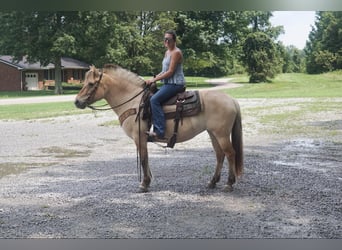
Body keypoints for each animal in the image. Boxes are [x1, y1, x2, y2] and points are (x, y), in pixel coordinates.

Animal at [75, 64, 243, 191]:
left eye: (91, 84)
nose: (77, 101)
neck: (134, 102)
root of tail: (231, 100)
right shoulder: (142, 139)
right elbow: (146, 159)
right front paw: (148, 181)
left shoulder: (139, 137)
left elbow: (143, 159)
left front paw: (144, 184)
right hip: (213, 133)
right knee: (220, 155)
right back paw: (212, 182)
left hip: (221, 134)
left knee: (230, 154)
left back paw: (229, 183)